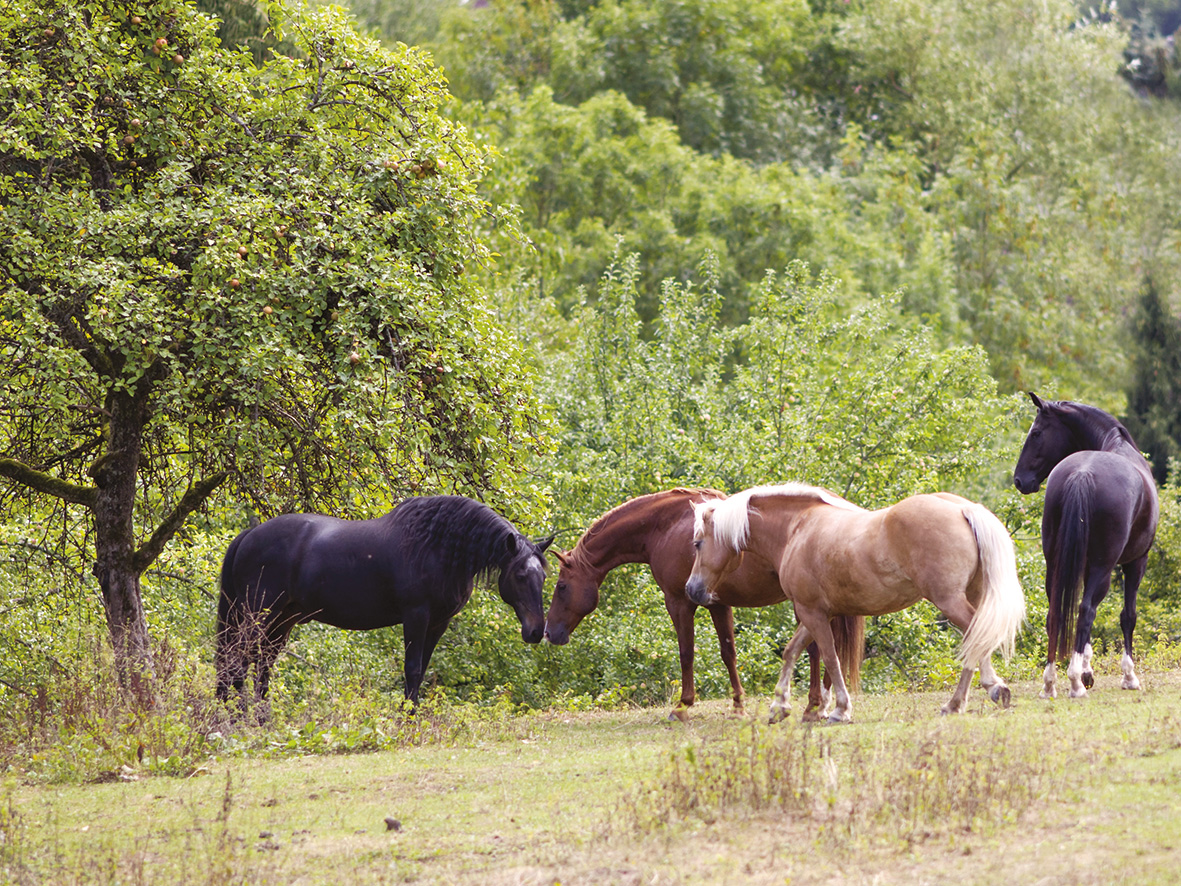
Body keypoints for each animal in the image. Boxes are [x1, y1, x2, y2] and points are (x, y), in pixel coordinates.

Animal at [216, 495, 553, 717]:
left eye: (544, 575)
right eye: (520, 575)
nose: (537, 631)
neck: (438, 548)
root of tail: (249, 535)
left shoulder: (438, 623)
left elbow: (422, 671)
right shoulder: (416, 617)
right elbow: (412, 670)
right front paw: (405, 720)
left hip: (282, 619)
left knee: (261, 666)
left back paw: (261, 721)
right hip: (256, 615)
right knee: (237, 662)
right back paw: (239, 719)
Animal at [544, 488, 865, 722]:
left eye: (561, 587)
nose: (549, 632)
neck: (664, 527)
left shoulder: (679, 602)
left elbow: (686, 653)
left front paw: (683, 706)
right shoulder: (717, 604)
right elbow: (728, 653)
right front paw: (738, 705)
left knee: (816, 650)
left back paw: (814, 707)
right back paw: (824, 706)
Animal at [687, 484, 1026, 723]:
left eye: (698, 543)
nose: (693, 589)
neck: (797, 528)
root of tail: (963, 508)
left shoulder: (812, 612)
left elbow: (830, 658)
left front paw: (839, 710)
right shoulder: (816, 613)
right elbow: (791, 652)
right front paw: (779, 706)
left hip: (949, 600)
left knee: (975, 636)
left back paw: (979, 693)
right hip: (968, 596)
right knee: (976, 638)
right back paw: (966, 700)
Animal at [1013, 393, 1159, 698]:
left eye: (1036, 433)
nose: (1019, 480)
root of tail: (1082, 474)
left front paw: (1087, 669)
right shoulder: (1136, 562)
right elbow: (1127, 615)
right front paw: (1128, 676)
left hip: (1056, 563)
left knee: (1057, 612)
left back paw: (1050, 682)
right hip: (1104, 567)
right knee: (1086, 610)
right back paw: (1074, 683)